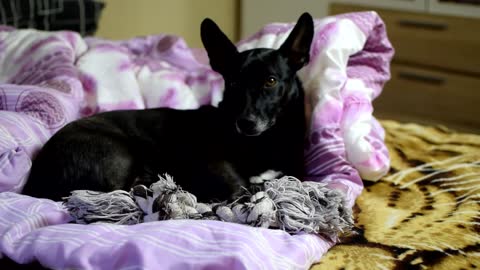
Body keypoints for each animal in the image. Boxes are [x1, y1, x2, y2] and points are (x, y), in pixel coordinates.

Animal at [23, 13, 316, 202]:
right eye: (233, 82)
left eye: (271, 81)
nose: (246, 123)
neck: (262, 142)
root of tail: (35, 178)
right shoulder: (219, 167)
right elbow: (244, 188)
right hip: (119, 151)